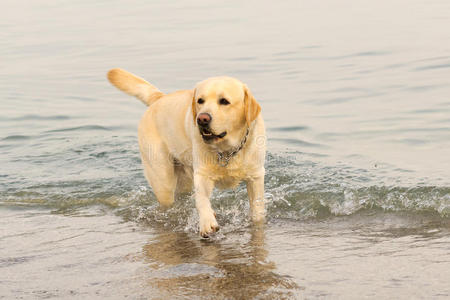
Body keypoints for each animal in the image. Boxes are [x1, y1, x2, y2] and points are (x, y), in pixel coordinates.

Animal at [107, 69, 266, 238]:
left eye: (224, 101)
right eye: (200, 101)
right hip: (163, 180)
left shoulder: (256, 176)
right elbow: (202, 200)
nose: (202, 119)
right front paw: (207, 222)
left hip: (183, 181)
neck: (226, 151)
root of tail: (160, 98)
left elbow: (257, 207)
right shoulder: (202, 174)